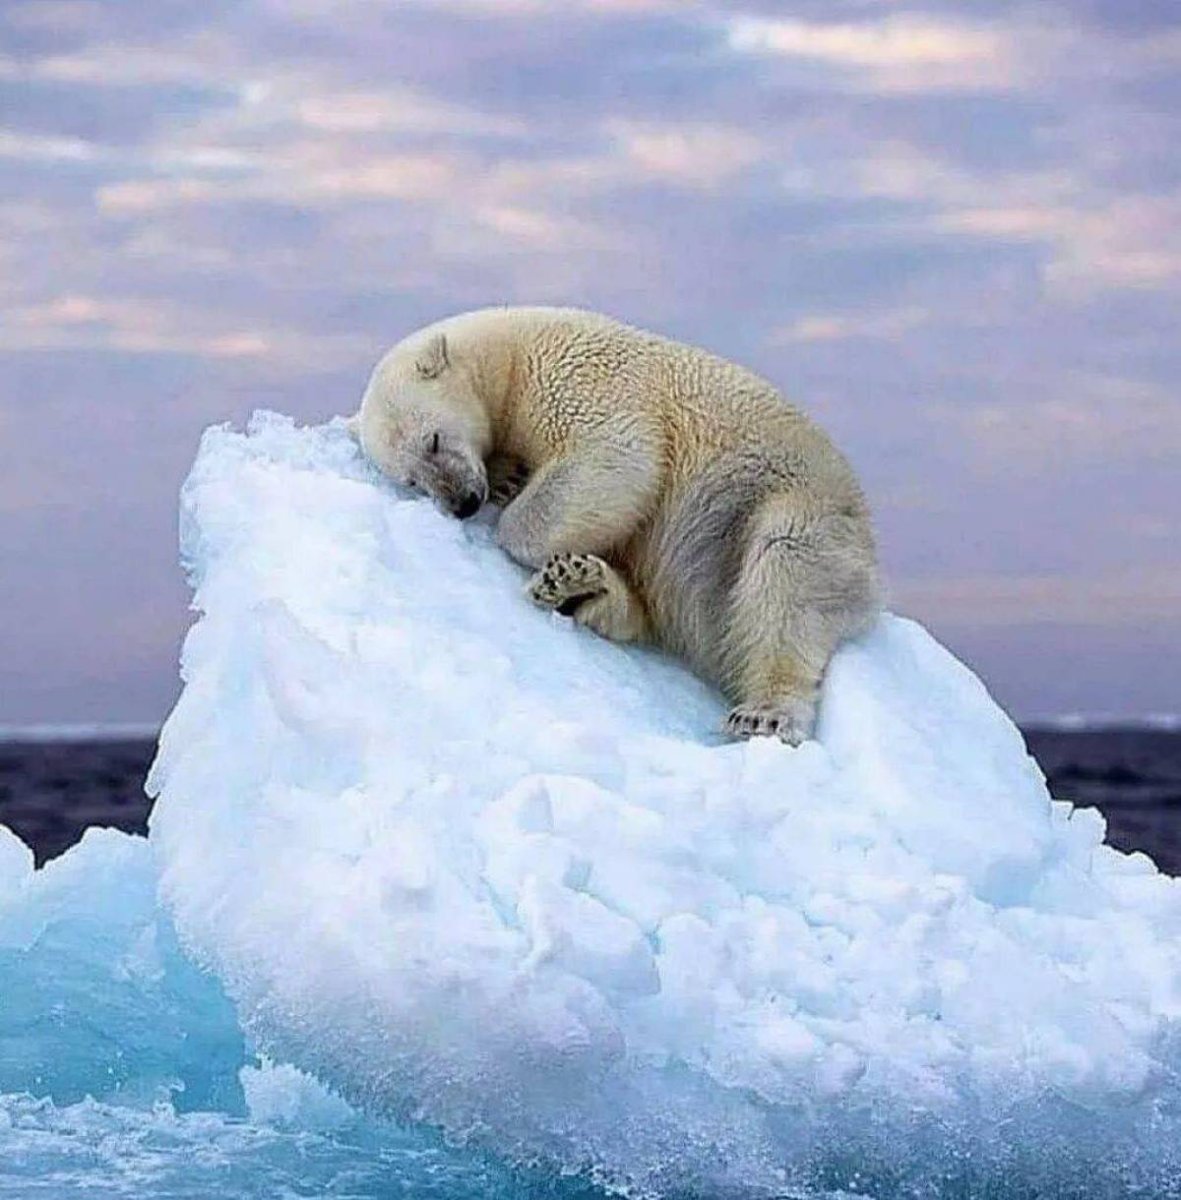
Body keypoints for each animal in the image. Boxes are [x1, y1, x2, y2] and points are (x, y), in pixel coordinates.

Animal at [354, 306, 879, 744]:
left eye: (434, 440)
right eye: (413, 480)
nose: (462, 503)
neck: (510, 354)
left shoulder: (579, 379)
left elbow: (617, 457)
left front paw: (513, 513)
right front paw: (508, 479)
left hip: (791, 507)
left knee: (785, 577)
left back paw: (765, 713)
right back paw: (580, 586)